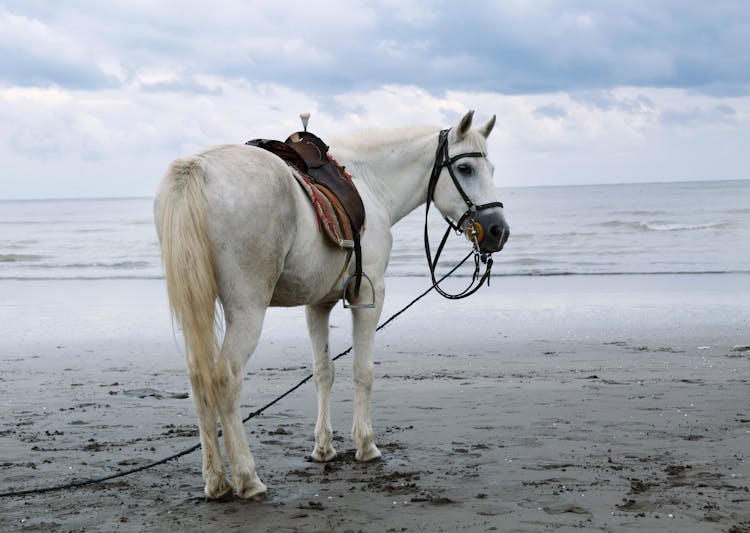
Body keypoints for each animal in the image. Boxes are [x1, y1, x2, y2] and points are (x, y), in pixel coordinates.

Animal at [153, 109, 512, 498]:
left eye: (492, 169)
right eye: (465, 169)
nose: (498, 231)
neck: (370, 182)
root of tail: (199, 166)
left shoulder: (318, 304)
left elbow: (323, 372)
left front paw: (323, 448)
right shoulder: (369, 296)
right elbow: (362, 370)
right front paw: (366, 445)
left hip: (199, 308)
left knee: (199, 378)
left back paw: (216, 479)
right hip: (247, 310)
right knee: (224, 379)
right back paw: (248, 478)